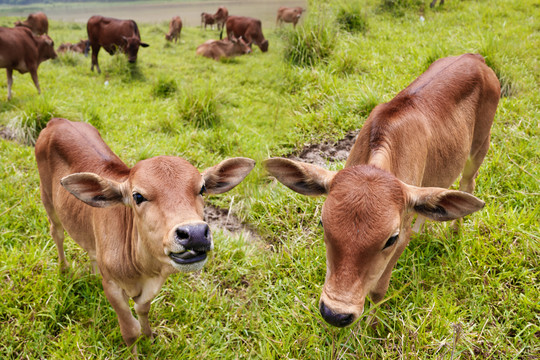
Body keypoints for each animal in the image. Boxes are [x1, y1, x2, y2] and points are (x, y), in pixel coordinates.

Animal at [35, 117, 255, 352]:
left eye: (202, 189)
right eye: (138, 196)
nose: (195, 233)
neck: (142, 269)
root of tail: (57, 120)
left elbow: (143, 310)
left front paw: (149, 337)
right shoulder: (112, 286)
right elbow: (130, 330)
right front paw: (135, 351)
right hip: (47, 198)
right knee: (57, 233)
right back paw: (64, 269)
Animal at [264, 54, 500, 330]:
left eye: (391, 239)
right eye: (323, 224)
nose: (335, 314)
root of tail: (475, 57)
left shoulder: (400, 238)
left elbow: (378, 290)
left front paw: (371, 326)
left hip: (480, 145)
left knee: (467, 183)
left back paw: (454, 232)